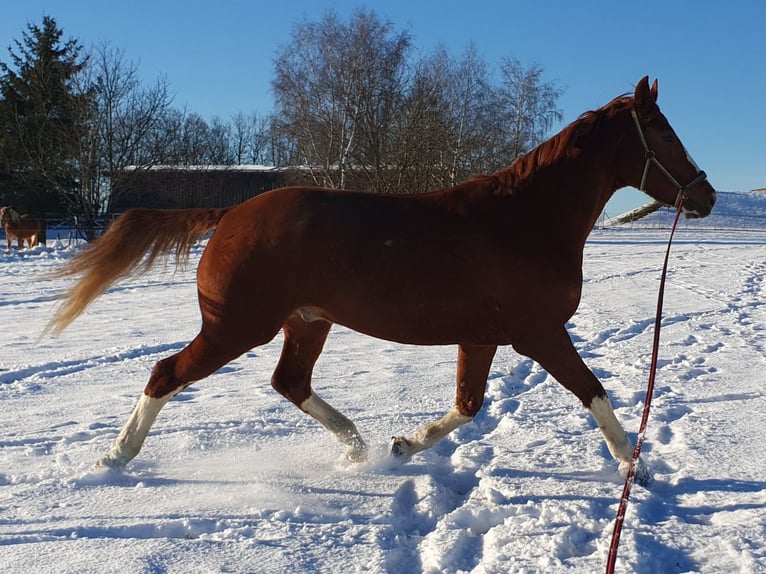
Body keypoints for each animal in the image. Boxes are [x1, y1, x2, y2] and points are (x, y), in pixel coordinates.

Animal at [45, 77, 720, 486]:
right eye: (664, 133)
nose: (706, 195)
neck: (524, 220)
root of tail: (231, 214)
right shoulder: (540, 334)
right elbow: (593, 391)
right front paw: (636, 467)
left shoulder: (483, 338)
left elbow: (467, 406)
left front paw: (404, 444)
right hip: (237, 326)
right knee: (166, 373)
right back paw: (113, 458)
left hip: (305, 323)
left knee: (288, 382)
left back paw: (355, 446)